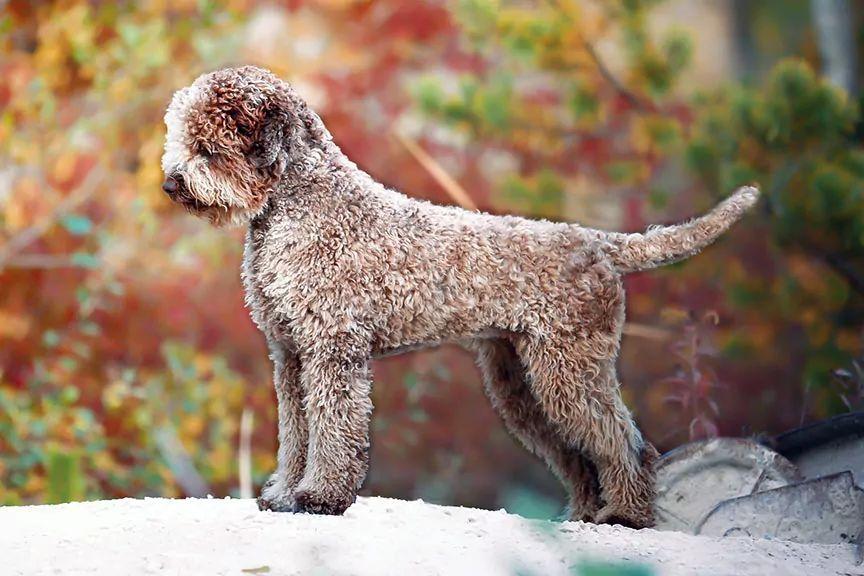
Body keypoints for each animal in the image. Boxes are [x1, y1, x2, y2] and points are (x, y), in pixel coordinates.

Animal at [160, 65, 756, 528]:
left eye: (208, 147)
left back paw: (626, 515)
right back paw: (586, 516)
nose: (169, 183)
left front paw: (319, 498)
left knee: (624, 441)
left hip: (568, 369)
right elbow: (296, 432)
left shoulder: (331, 350)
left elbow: (332, 428)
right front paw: (285, 494)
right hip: (521, 382)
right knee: (580, 454)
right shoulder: (289, 354)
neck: (302, 205)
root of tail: (600, 244)